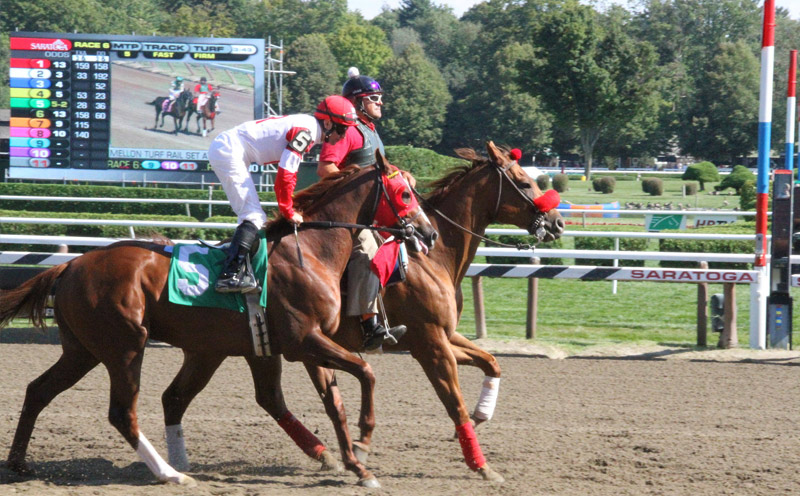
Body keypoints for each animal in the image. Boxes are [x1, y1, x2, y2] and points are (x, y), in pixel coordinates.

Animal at [0, 154, 438, 488]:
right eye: (404, 193)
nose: (429, 233)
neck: (311, 251)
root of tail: (71, 265)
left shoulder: (274, 347)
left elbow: (332, 403)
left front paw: (355, 465)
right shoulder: (303, 342)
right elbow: (366, 373)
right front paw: (364, 440)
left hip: (90, 350)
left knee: (40, 390)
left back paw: (19, 463)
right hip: (125, 346)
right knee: (122, 412)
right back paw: (171, 473)